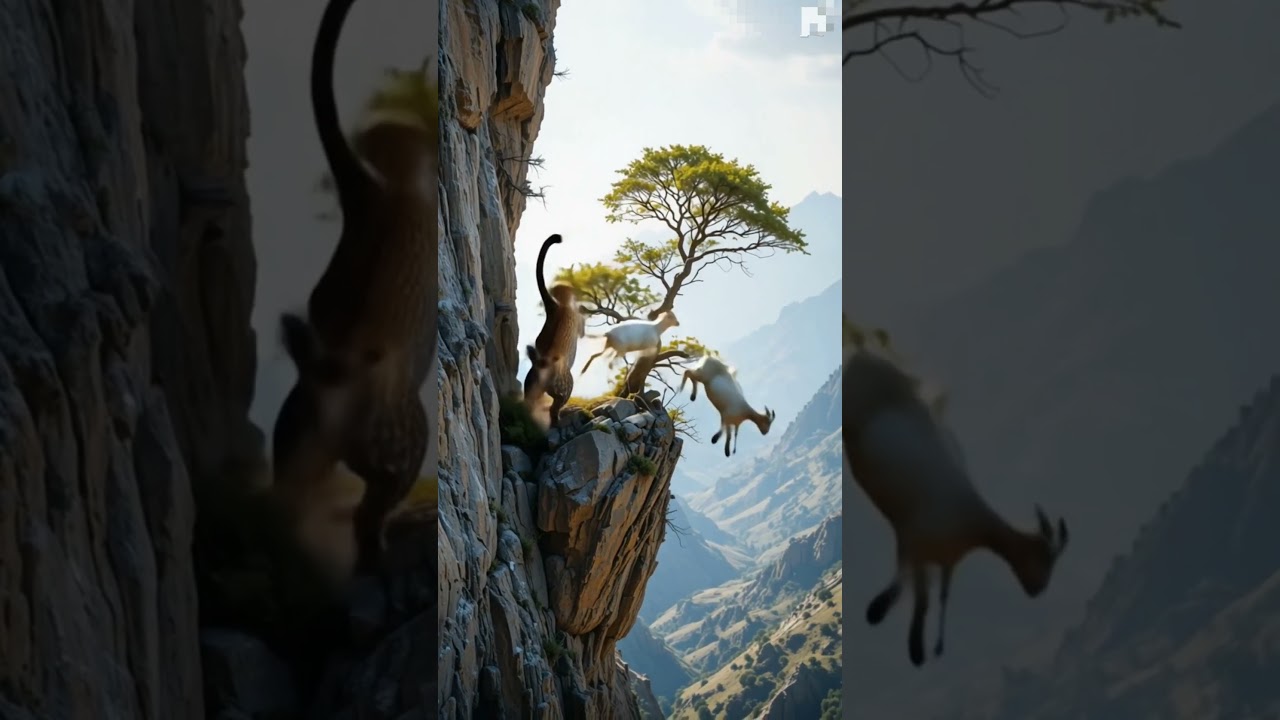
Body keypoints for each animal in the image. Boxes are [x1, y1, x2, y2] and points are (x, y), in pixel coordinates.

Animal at [843, 347, 1069, 667]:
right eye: (1045, 556)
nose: (1038, 590)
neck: (972, 525)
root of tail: (863, 357)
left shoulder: (942, 560)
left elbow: (933, 598)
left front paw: (923, 649)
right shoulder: (911, 542)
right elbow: (909, 590)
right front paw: (881, 615)